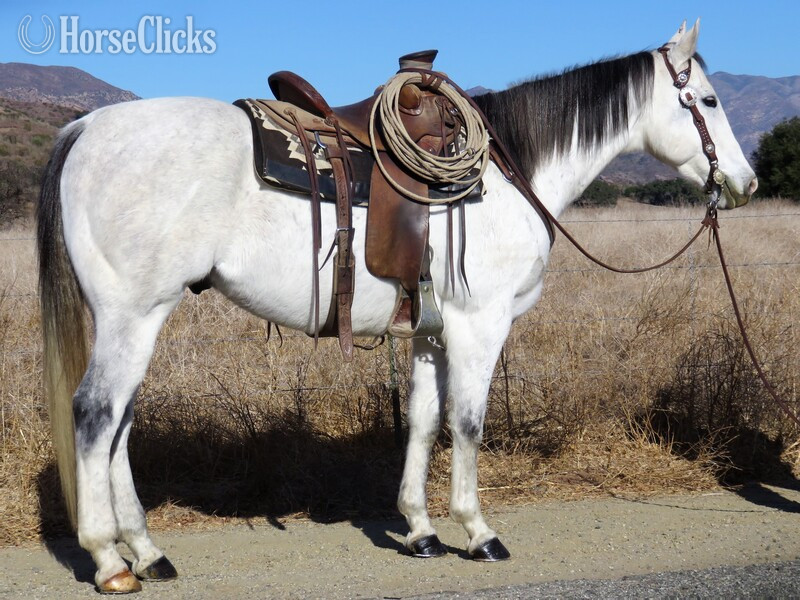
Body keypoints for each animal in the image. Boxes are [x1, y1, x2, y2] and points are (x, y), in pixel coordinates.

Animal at [38, 20, 756, 593]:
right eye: (710, 99)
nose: (744, 183)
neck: (510, 172)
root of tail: (87, 125)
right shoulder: (480, 324)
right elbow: (467, 423)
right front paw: (479, 532)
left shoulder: (433, 332)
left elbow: (421, 422)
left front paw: (420, 530)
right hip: (134, 315)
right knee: (96, 415)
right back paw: (110, 561)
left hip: (136, 320)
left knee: (120, 424)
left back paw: (148, 551)